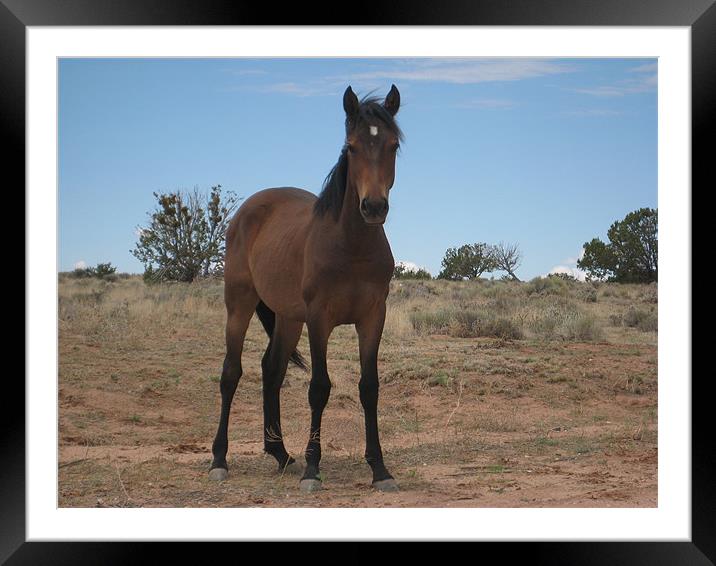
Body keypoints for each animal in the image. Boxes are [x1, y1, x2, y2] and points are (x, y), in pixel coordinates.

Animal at [208, 83, 402, 492]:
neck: (351, 245)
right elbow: (319, 388)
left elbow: (369, 387)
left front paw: (380, 469)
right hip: (240, 304)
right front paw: (313, 469)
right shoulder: (319, 319)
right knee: (231, 373)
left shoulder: (373, 318)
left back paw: (280, 453)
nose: (374, 207)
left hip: (287, 317)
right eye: (351, 147)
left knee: (272, 369)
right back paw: (219, 460)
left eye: (393, 145)